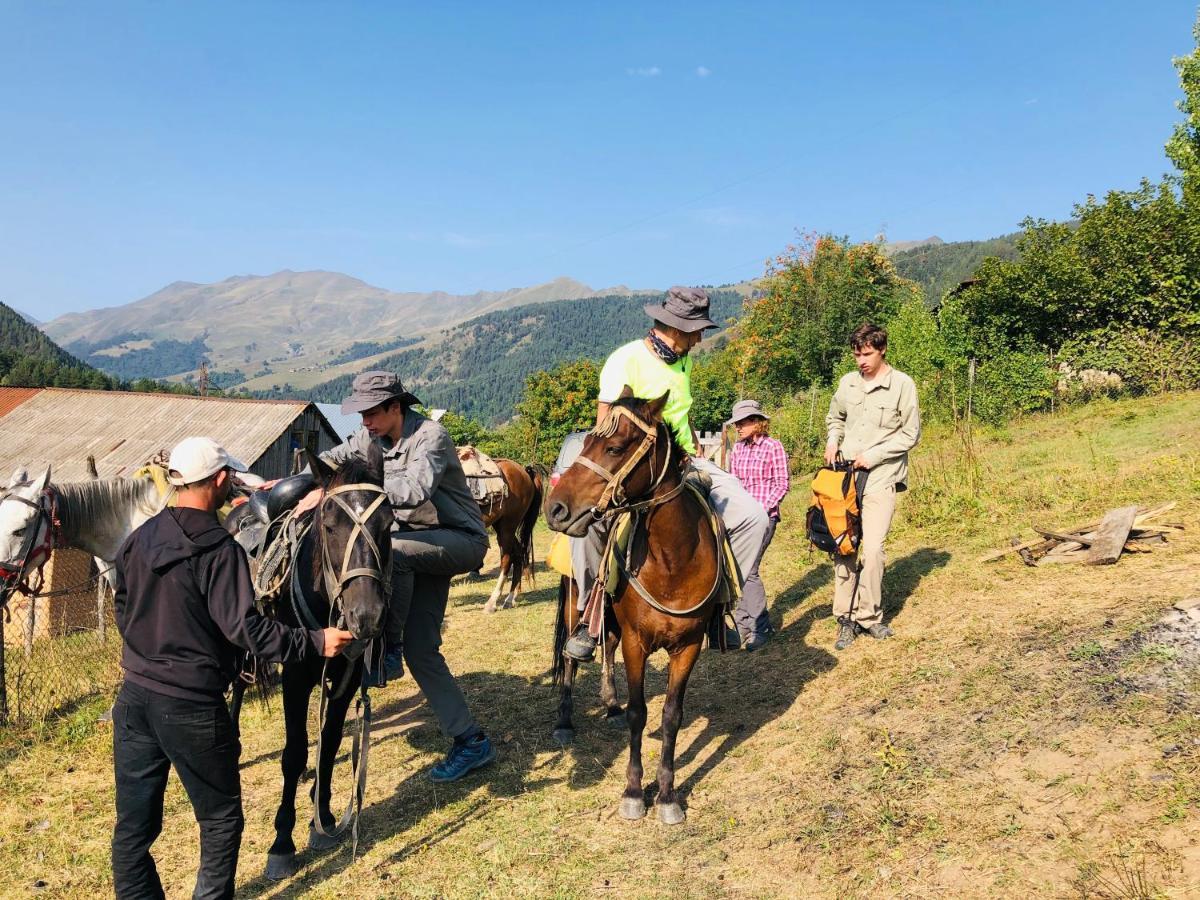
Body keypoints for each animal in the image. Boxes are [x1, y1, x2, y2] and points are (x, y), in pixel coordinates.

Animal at [544, 391, 720, 830]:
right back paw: (565, 721)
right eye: (588, 441)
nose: (555, 509)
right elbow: (639, 714)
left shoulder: (688, 646)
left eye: (615, 448)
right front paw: (634, 792)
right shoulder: (637, 645)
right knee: (571, 660)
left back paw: (609, 703)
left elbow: (671, 716)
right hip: (576, 602)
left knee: (605, 643)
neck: (673, 561)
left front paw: (669, 795)